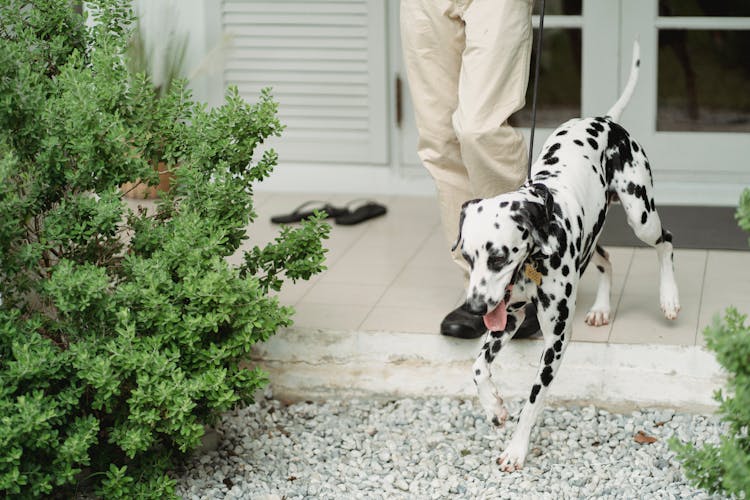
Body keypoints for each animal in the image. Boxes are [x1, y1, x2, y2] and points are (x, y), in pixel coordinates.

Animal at [452, 41, 680, 470]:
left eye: (498, 257)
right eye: (469, 258)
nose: (473, 307)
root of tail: (606, 120)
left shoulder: (555, 340)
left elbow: (532, 400)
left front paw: (516, 448)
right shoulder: (507, 319)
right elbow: (476, 367)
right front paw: (494, 408)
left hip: (641, 214)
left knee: (666, 242)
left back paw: (669, 298)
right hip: (592, 240)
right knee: (607, 258)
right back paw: (602, 308)